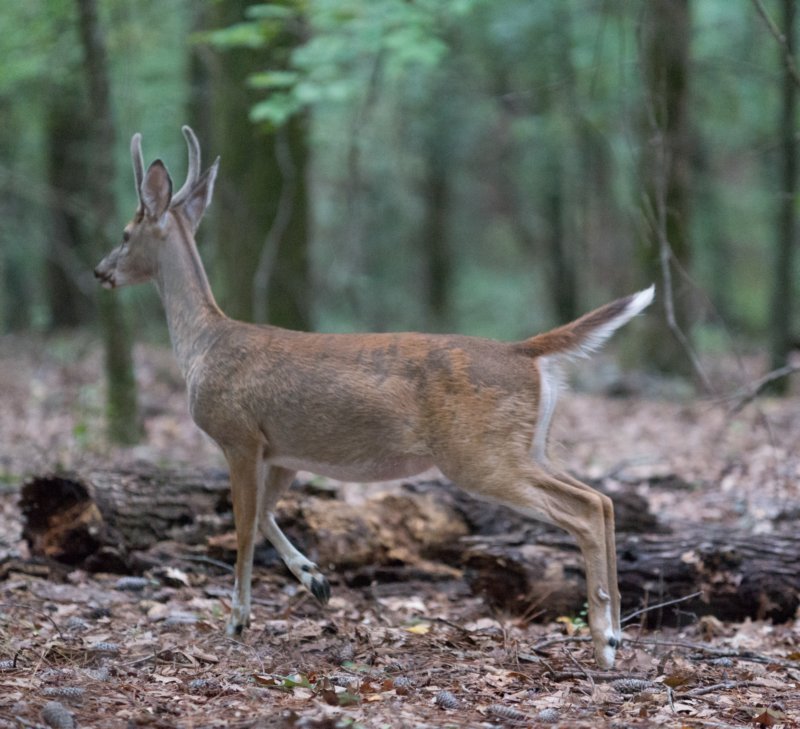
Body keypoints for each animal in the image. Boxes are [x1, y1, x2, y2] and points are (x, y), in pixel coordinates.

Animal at [95, 125, 656, 664]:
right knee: (602, 499)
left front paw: (237, 620)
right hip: (530, 445)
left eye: (125, 233)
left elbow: (242, 528)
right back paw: (616, 632)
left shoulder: (238, 435)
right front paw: (316, 581)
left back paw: (604, 641)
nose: (100, 271)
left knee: (584, 509)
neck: (205, 344)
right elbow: (267, 517)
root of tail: (524, 351)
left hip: (479, 453)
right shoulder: (283, 451)